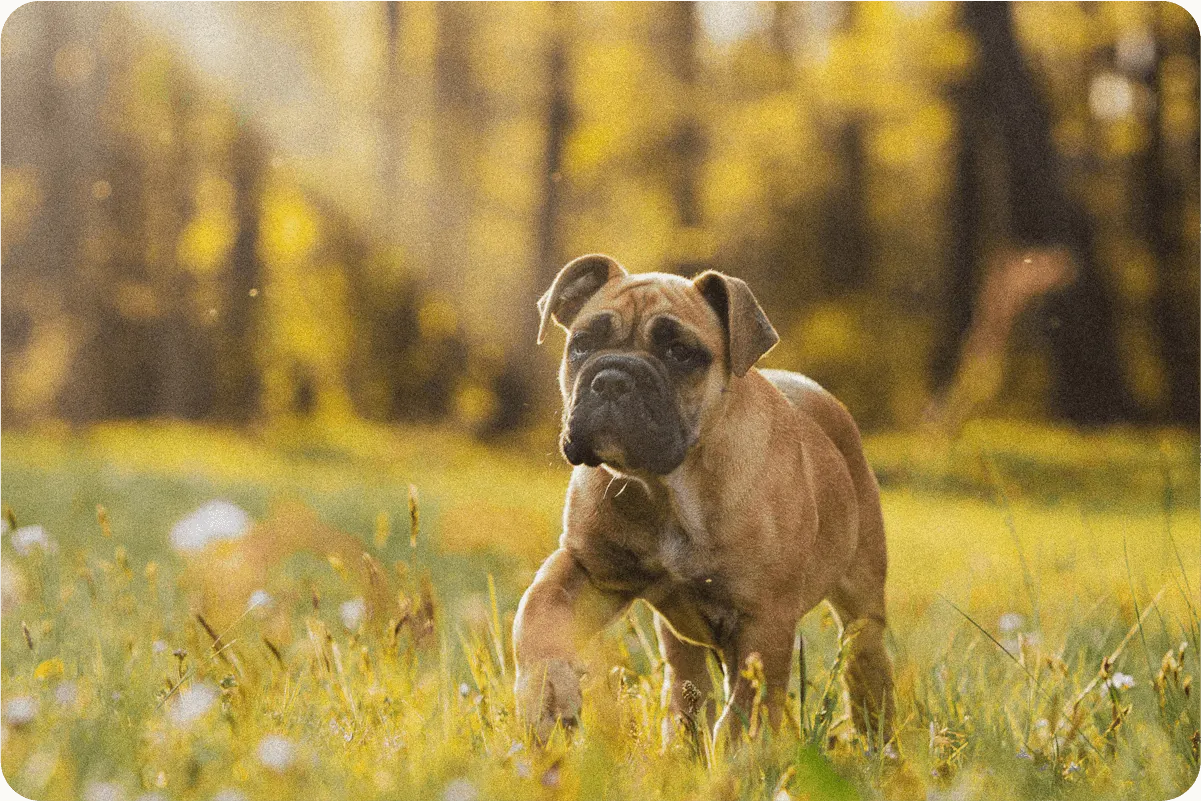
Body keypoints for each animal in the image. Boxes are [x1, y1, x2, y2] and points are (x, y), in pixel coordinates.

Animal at [511, 255, 898, 744]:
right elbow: (536, 613)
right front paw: (547, 695)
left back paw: (878, 740)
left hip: (861, 603)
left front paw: (738, 758)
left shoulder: (763, 622)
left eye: (680, 353)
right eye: (581, 345)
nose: (613, 379)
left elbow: (747, 710)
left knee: (865, 664)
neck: (667, 489)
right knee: (687, 678)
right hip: (679, 635)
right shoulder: (588, 569)